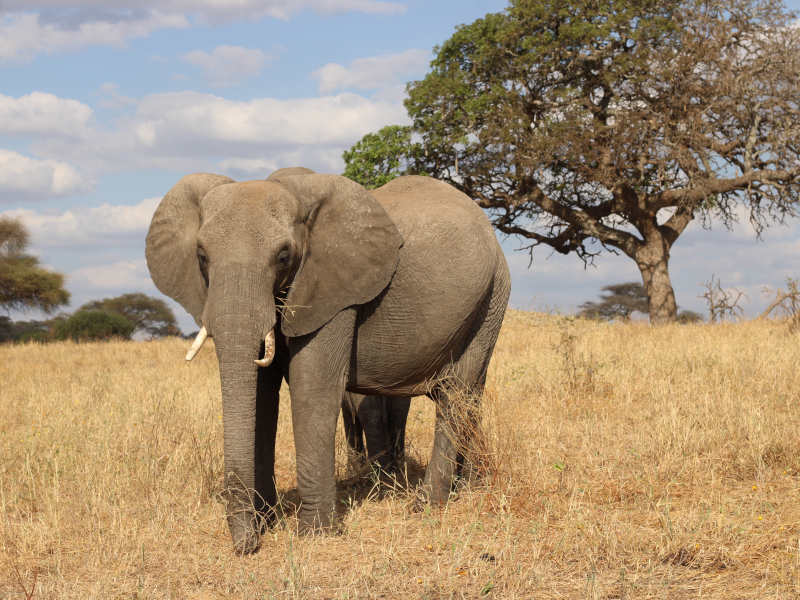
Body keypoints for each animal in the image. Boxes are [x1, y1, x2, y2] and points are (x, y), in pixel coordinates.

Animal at [146, 168, 510, 552]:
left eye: (283, 256)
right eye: (201, 256)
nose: (246, 547)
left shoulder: (334, 292)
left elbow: (313, 387)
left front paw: (316, 533)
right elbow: (262, 396)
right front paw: (268, 523)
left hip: (492, 296)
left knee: (456, 393)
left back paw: (426, 505)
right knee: (470, 395)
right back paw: (464, 487)